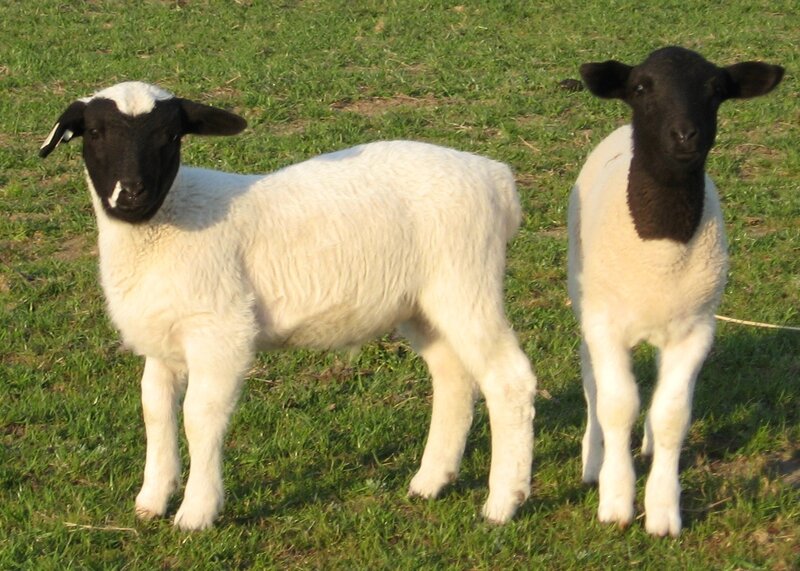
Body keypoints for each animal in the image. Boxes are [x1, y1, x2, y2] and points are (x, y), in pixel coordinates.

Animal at [39, 81, 537, 530]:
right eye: (95, 133)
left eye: (170, 135)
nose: (132, 194)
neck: (165, 224)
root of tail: (497, 179)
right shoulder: (163, 340)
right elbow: (155, 410)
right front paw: (151, 500)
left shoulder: (220, 332)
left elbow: (199, 416)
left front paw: (196, 513)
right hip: (424, 304)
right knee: (453, 376)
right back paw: (431, 481)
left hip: (466, 281)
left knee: (508, 380)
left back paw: (502, 504)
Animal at [568, 46, 784, 537]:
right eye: (641, 87)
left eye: (716, 90)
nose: (685, 135)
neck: (661, 246)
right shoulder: (606, 325)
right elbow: (616, 405)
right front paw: (615, 501)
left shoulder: (695, 330)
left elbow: (670, 415)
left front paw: (663, 511)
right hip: (585, 296)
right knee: (591, 382)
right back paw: (593, 459)